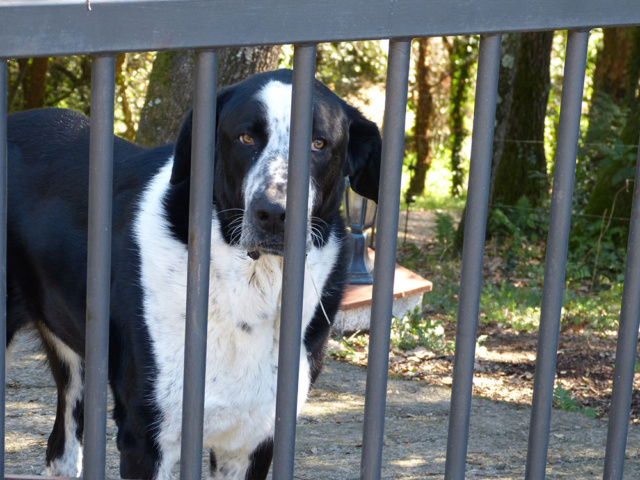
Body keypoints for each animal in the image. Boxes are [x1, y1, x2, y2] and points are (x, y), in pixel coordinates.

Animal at [5, 68, 380, 480]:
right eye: (246, 137)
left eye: (318, 143)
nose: (273, 214)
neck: (250, 284)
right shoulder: (148, 438)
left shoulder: (253, 440)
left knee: (61, 448)